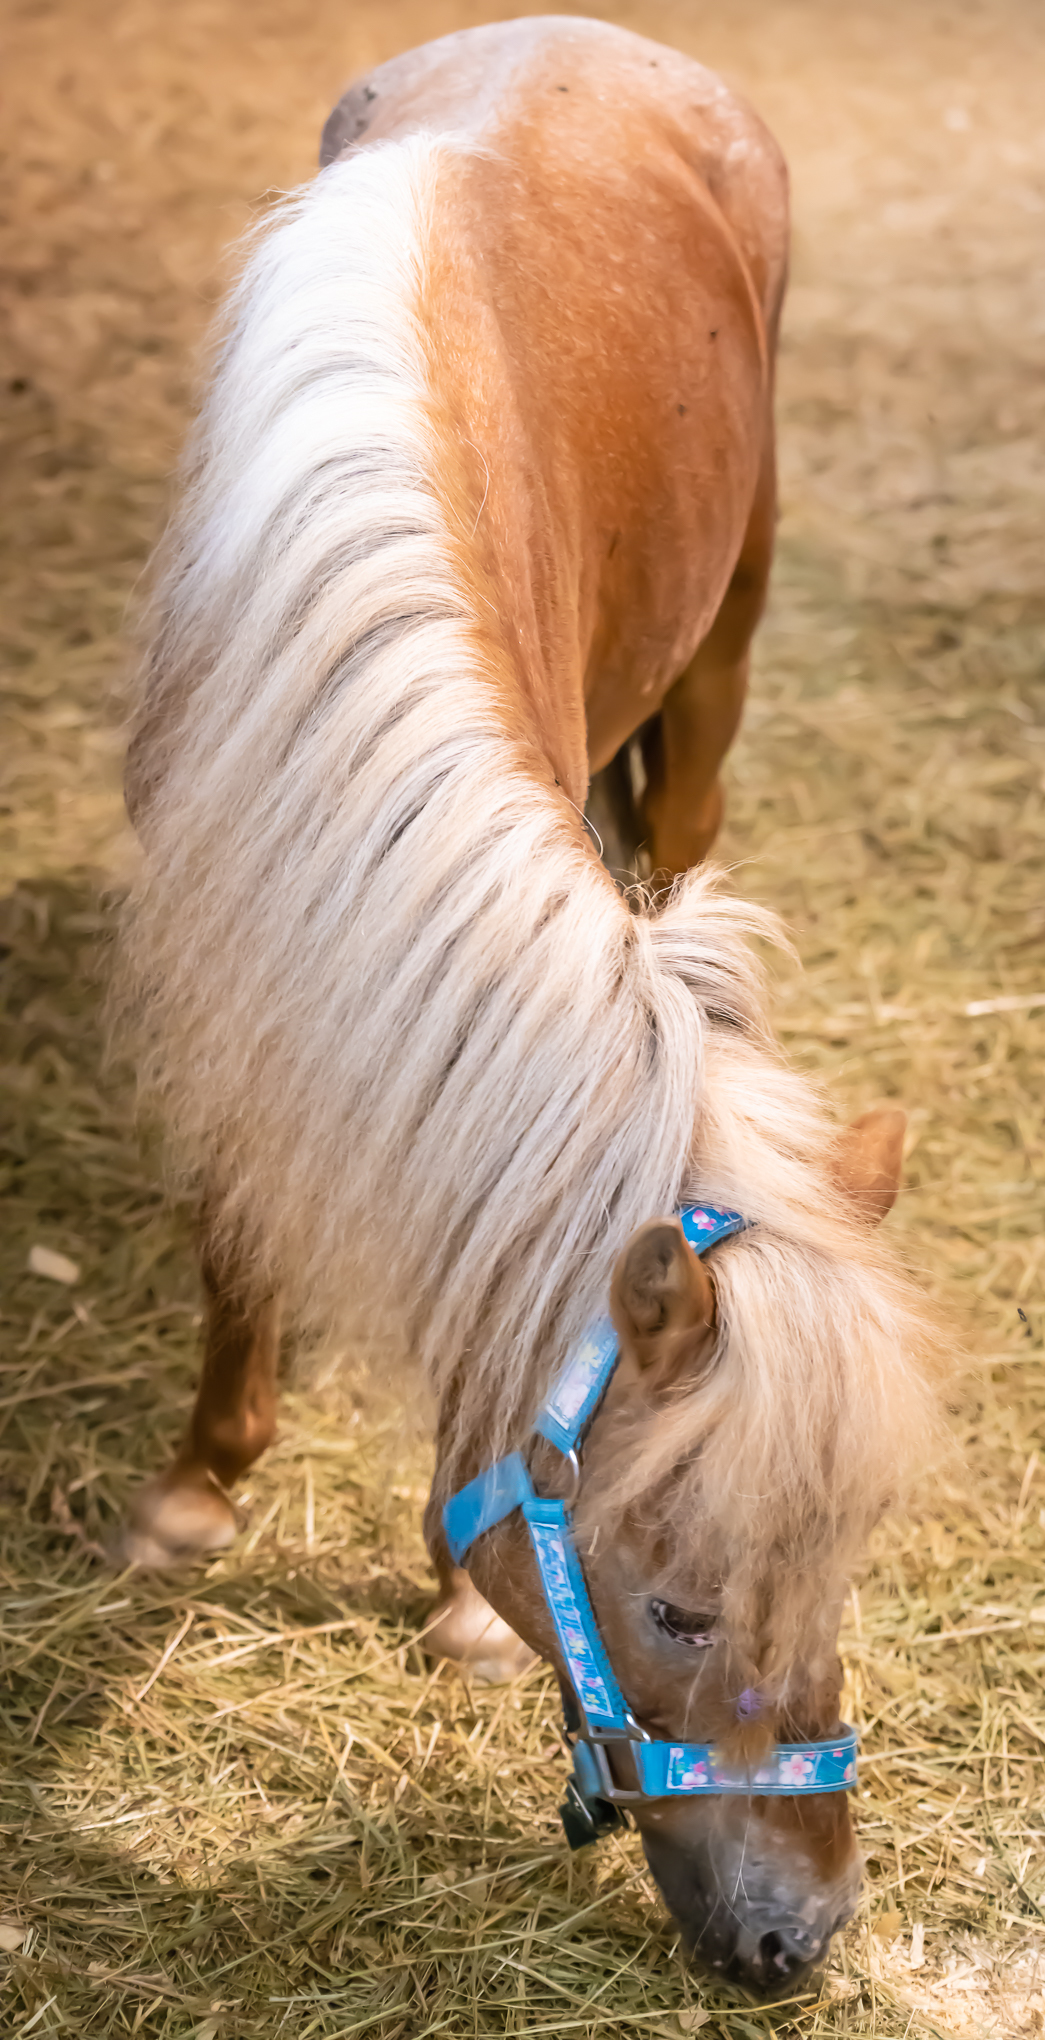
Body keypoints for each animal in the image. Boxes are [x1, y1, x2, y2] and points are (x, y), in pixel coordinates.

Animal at [114, 16, 944, 1994]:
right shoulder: (220, 946)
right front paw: (197, 1491)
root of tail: (593, 42)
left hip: (714, 674)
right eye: (678, 1605)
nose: (805, 1935)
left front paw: (460, 1612)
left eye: (845, 1569)